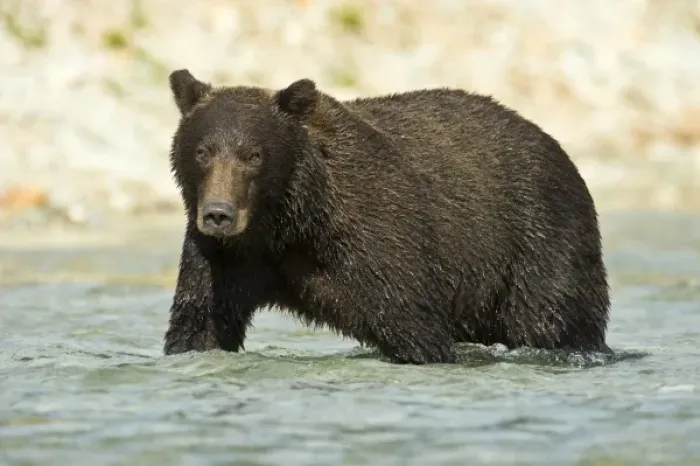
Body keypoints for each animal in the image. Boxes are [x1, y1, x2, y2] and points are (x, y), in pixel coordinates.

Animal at [162, 68, 611, 364]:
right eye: (202, 151)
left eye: (253, 155)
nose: (218, 214)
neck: (289, 223)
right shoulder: (223, 258)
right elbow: (199, 323)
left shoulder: (378, 238)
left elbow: (412, 323)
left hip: (539, 239)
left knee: (549, 318)